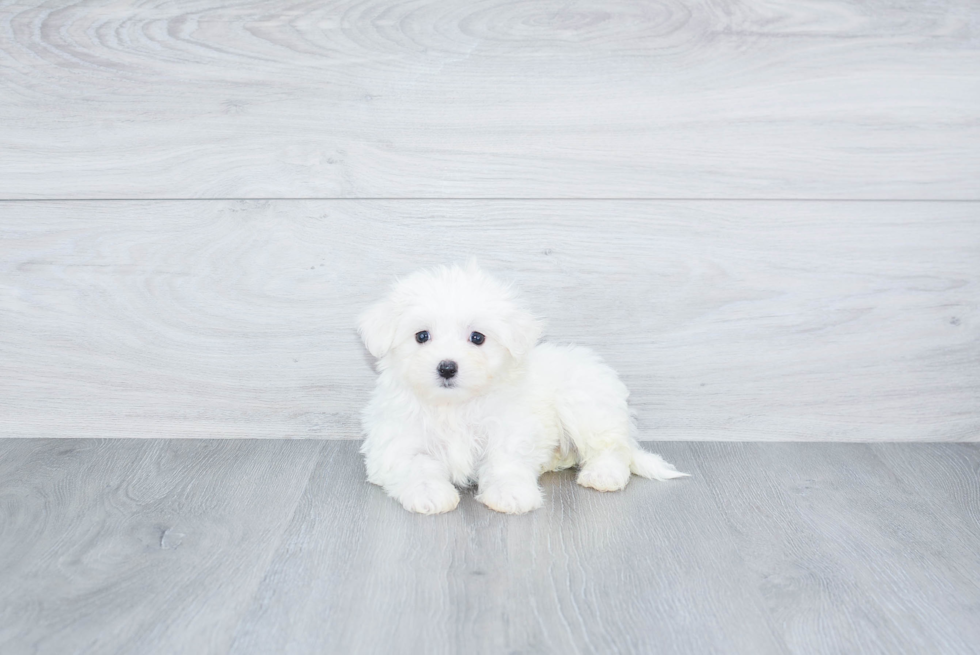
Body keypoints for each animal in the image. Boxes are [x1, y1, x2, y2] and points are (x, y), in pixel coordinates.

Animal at [356, 264, 684, 516]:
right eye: (421, 336)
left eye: (477, 338)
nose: (447, 367)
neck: (455, 405)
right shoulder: (397, 441)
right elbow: (417, 466)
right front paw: (429, 494)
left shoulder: (509, 430)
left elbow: (506, 462)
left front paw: (511, 494)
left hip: (586, 403)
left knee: (612, 448)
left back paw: (603, 474)